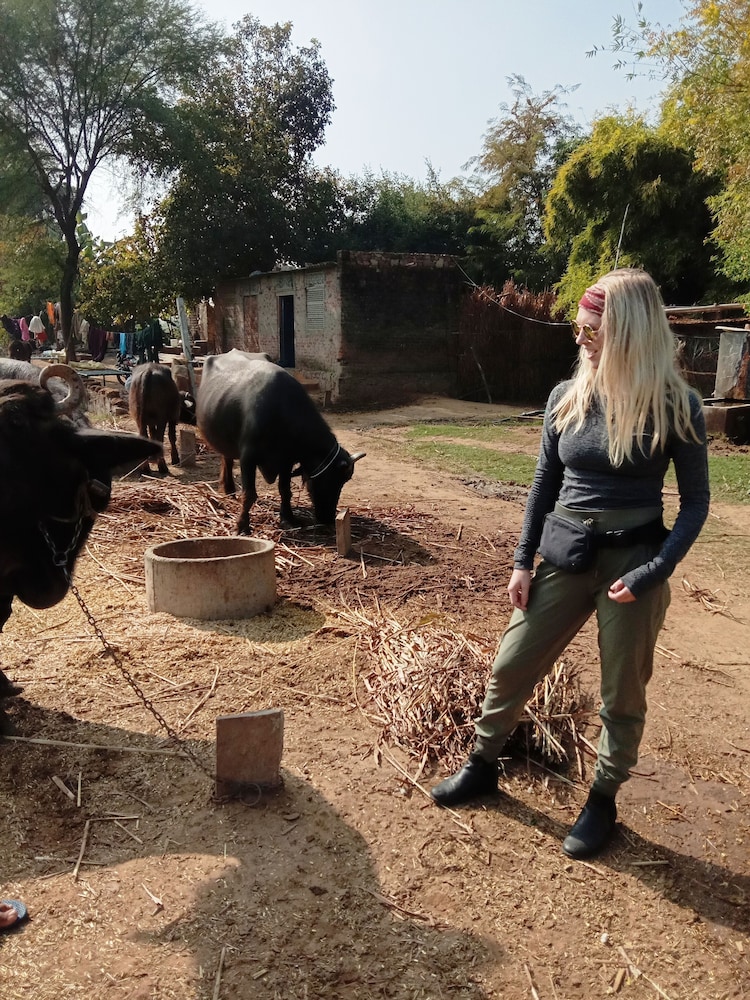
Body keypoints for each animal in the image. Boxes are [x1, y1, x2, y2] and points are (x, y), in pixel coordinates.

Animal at [196, 350, 364, 534]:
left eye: (344, 481)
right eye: (332, 479)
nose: (328, 518)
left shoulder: (287, 461)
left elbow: (285, 490)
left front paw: (288, 518)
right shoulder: (248, 458)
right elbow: (249, 494)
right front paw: (242, 525)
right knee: (226, 460)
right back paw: (228, 490)